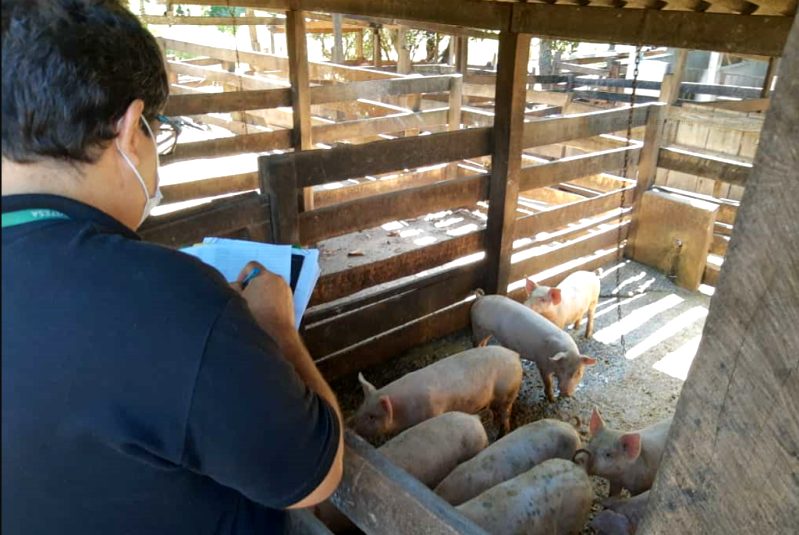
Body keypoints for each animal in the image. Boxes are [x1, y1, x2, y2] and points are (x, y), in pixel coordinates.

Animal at [346, 348, 520, 440]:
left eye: (371, 417)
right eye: (361, 408)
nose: (351, 427)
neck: (402, 411)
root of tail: (514, 355)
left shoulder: (432, 411)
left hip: (508, 391)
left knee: (506, 412)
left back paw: (502, 434)